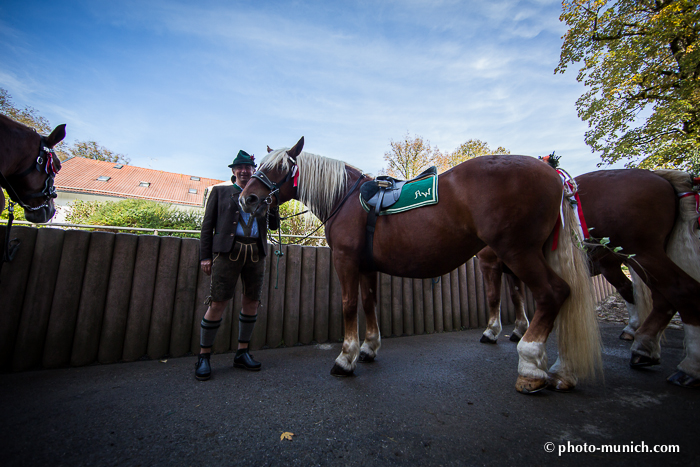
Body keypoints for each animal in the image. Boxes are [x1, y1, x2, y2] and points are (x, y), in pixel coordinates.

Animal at [241, 138, 600, 394]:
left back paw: (530, 365)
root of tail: (551, 173)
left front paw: (346, 358)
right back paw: (561, 370)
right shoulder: (367, 266)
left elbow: (349, 305)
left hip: (518, 251)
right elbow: (369, 303)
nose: (247, 198)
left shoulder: (346, 260)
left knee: (553, 294)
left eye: (280, 168)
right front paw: (369, 348)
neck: (346, 199)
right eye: (261, 165)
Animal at [476, 170, 700, 390]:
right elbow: (517, 297)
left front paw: (492, 331)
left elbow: (494, 297)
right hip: (637, 261)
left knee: (680, 290)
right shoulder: (512, 268)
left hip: (641, 255)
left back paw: (687, 366)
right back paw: (644, 347)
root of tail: (662, 178)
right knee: (661, 299)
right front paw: (520, 328)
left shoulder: (491, 262)